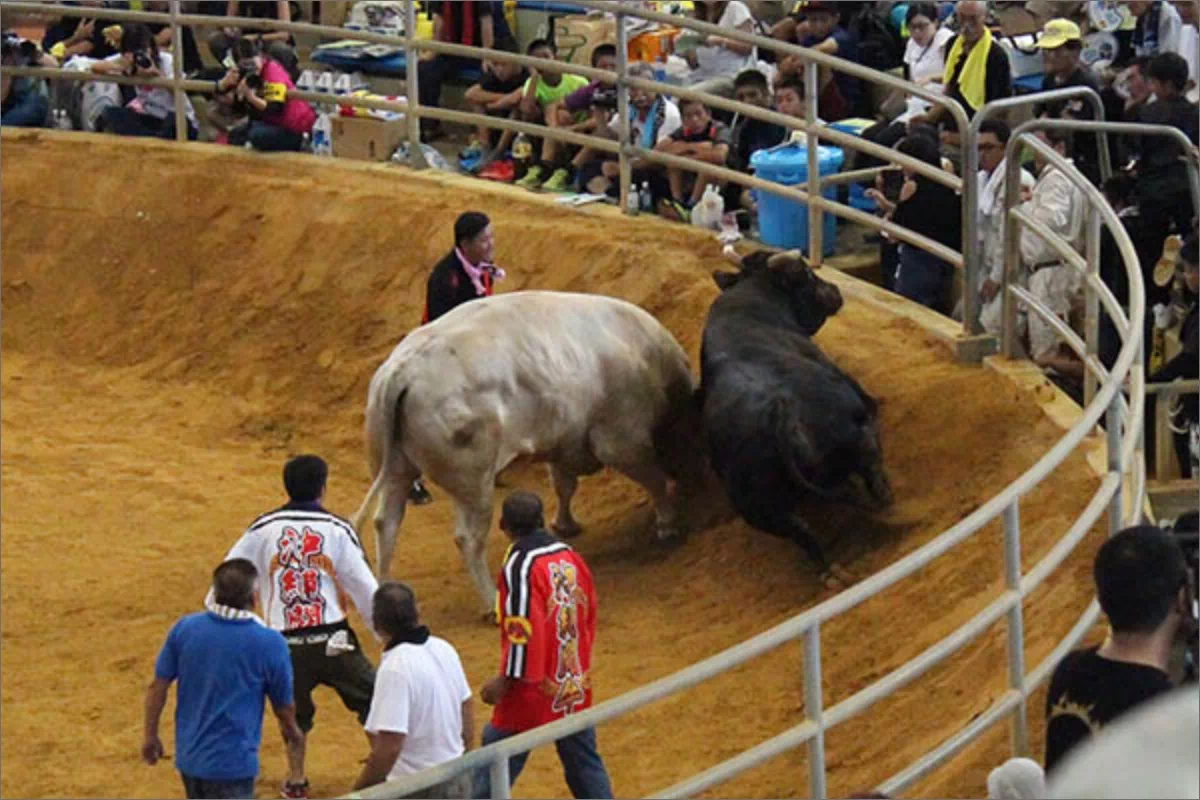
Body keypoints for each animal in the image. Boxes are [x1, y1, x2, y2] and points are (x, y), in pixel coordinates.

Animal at [351, 290, 702, 619]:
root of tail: (403, 371)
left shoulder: (565, 443)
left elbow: (564, 486)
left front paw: (565, 523)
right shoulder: (622, 440)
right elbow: (653, 479)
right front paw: (668, 523)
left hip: (397, 469)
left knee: (386, 523)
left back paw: (385, 589)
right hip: (473, 483)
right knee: (467, 539)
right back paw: (490, 601)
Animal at [699, 248, 893, 587]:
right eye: (808, 275)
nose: (835, 292)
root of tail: (779, 415)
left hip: (760, 509)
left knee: (803, 533)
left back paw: (831, 571)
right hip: (859, 432)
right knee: (870, 471)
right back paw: (886, 499)